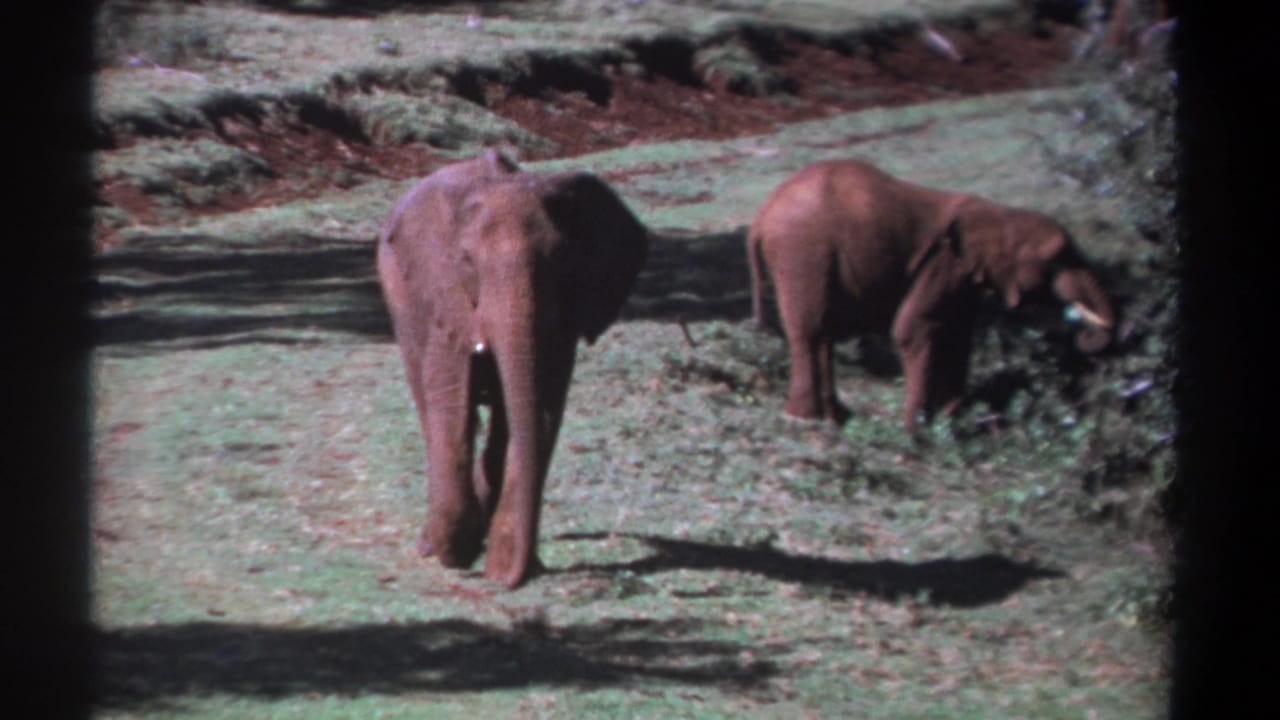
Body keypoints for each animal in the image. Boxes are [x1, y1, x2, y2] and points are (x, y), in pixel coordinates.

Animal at [376, 149, 649, 588]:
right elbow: (451, 401)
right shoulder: (446, 295)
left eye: (561, 259)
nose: (507, 576)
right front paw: (452, 553)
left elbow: (542, 404)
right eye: (467, 260)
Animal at [746, 158, 1116, 430]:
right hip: (803, 250)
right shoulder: (945, 263)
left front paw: (955, 419)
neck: (998, 215)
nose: (1081, 328)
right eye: (1057, 258)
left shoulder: (964, 276)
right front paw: (918, 429)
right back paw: (805, 419)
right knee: (810, 331)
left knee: (822, 331)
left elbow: (959, 334)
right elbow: (913, 329)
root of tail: (761, 216)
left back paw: (835, 418)